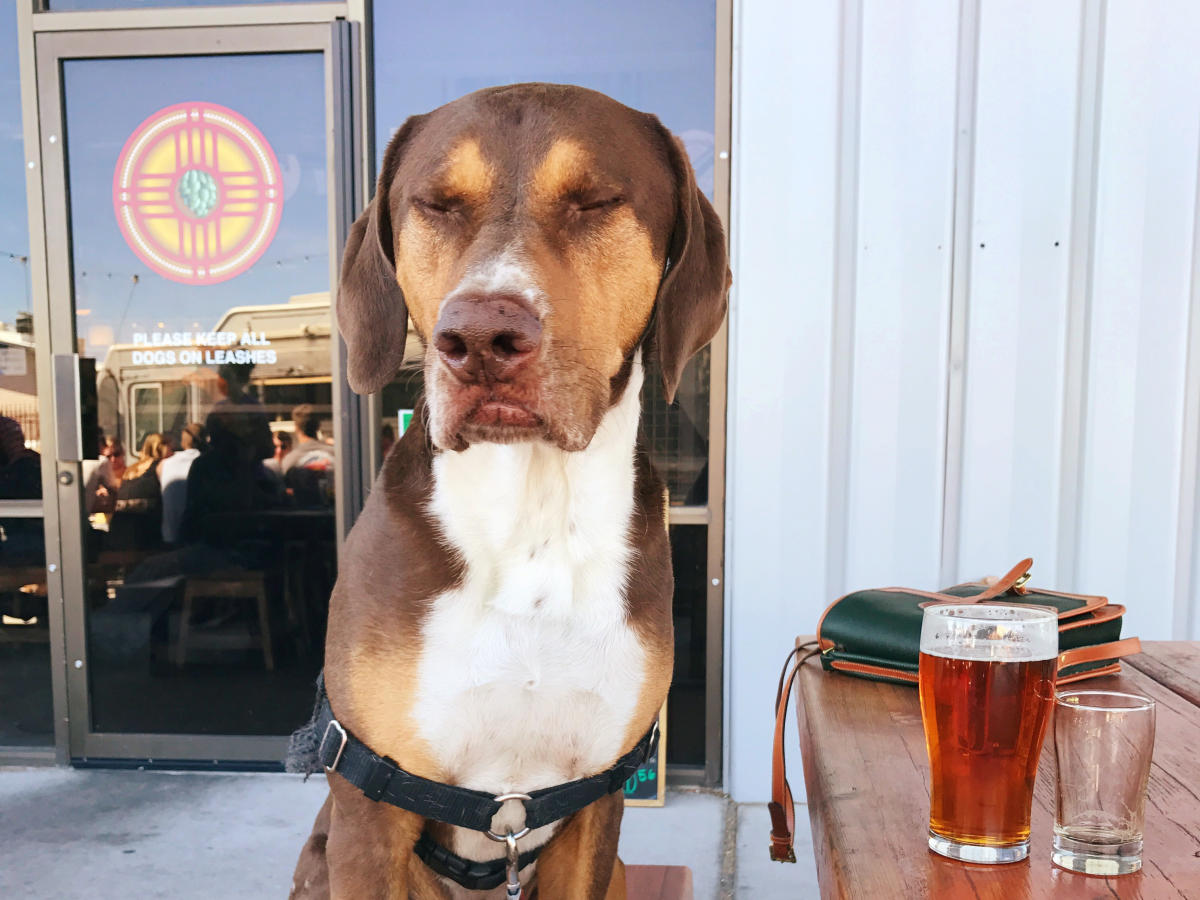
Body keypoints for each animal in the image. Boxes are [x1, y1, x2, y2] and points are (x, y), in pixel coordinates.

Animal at [292, 81, 729, 897]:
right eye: (436, 203)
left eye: (596, 200)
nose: (479, 340)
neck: (532, 514)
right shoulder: (370, 808)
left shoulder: (596, 801)